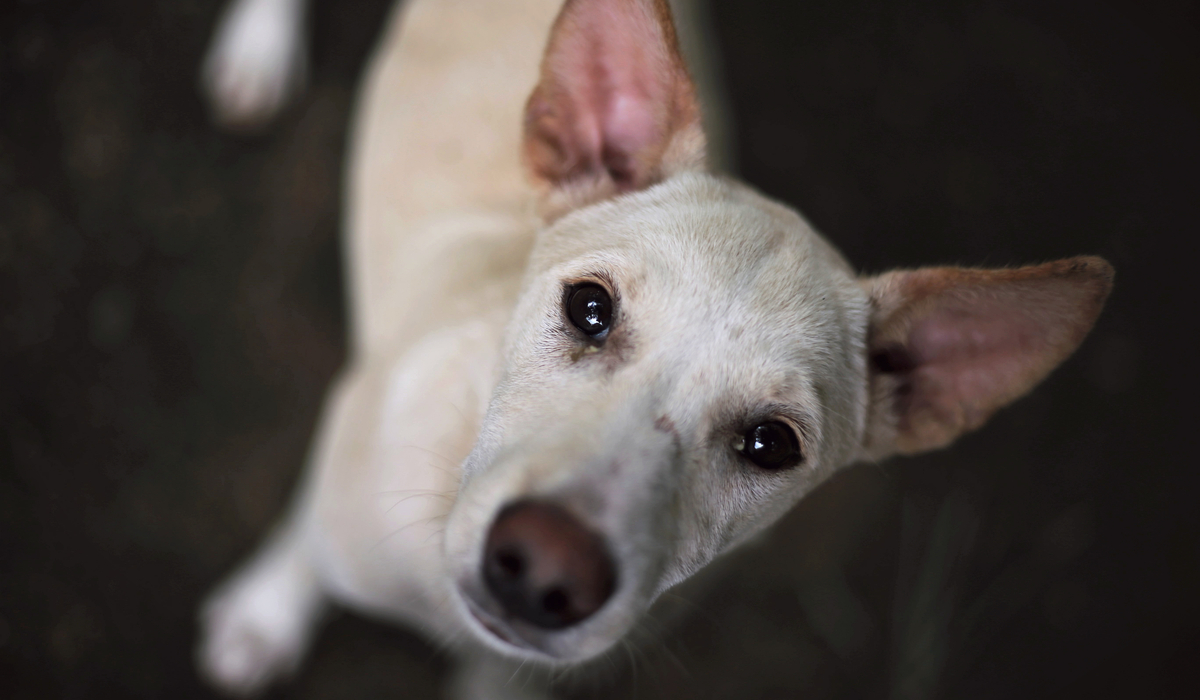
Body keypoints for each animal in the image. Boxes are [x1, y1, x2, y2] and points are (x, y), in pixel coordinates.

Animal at [194, 0, 1113, 696]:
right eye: (589, 308)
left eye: (770, 444)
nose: (545, 570)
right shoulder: (336, 466)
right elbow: (298, 552)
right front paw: (263, 621)